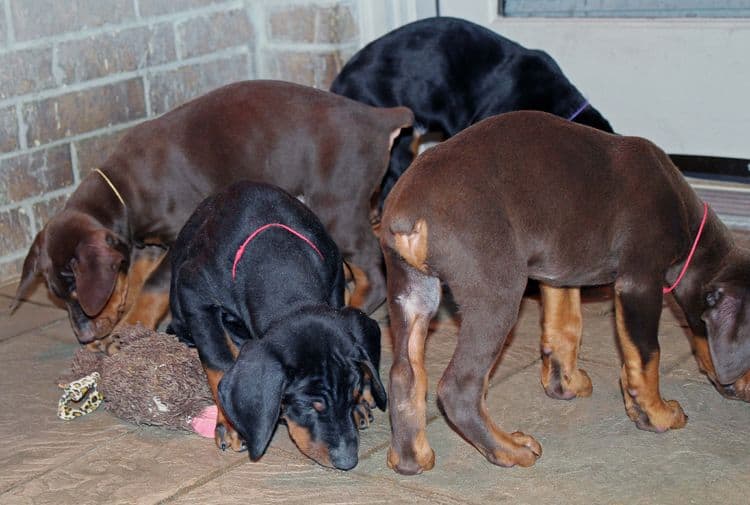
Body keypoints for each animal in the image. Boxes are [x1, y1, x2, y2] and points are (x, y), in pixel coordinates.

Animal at [11, 79, 414, 350]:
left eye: (77, 290)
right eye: (58, 294)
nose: (82, 337)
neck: (123, 188)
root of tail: (378, 118)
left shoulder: (179, 237)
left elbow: (153, 284)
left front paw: (127, 328)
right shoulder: (146, 244)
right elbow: (136, 280)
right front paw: (122, 322)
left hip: (337, 207)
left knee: (373, 271)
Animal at [170, 180, 388, 468]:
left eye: (350, 393)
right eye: (310, 405)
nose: (347, 461)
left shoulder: (335, 282)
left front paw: (360, 401)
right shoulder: (195, 296)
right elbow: (218, 362)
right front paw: (230, 424)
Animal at [382, 109, 750, 472]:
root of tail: (406, 215)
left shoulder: (560, 274)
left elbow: (566, 330)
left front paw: (565, 384)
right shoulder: (639, 280)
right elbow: (647, 354)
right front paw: (656, 413)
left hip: (412, 294)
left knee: (405, 375)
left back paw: (410, 459)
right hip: (498, 293)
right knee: (459, 387)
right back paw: (509, 449)